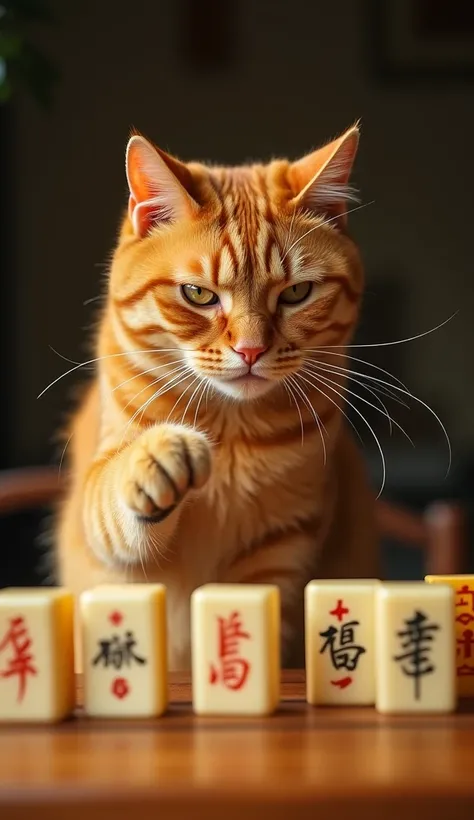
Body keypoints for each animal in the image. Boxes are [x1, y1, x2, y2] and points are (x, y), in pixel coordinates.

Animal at [56, 125, 378, 668]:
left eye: (296, 294)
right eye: (199, 295)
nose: (250, 350)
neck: (231, 430)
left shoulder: (280, 547)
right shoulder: (107, 531)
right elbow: (115, 501)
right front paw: (158, 458)